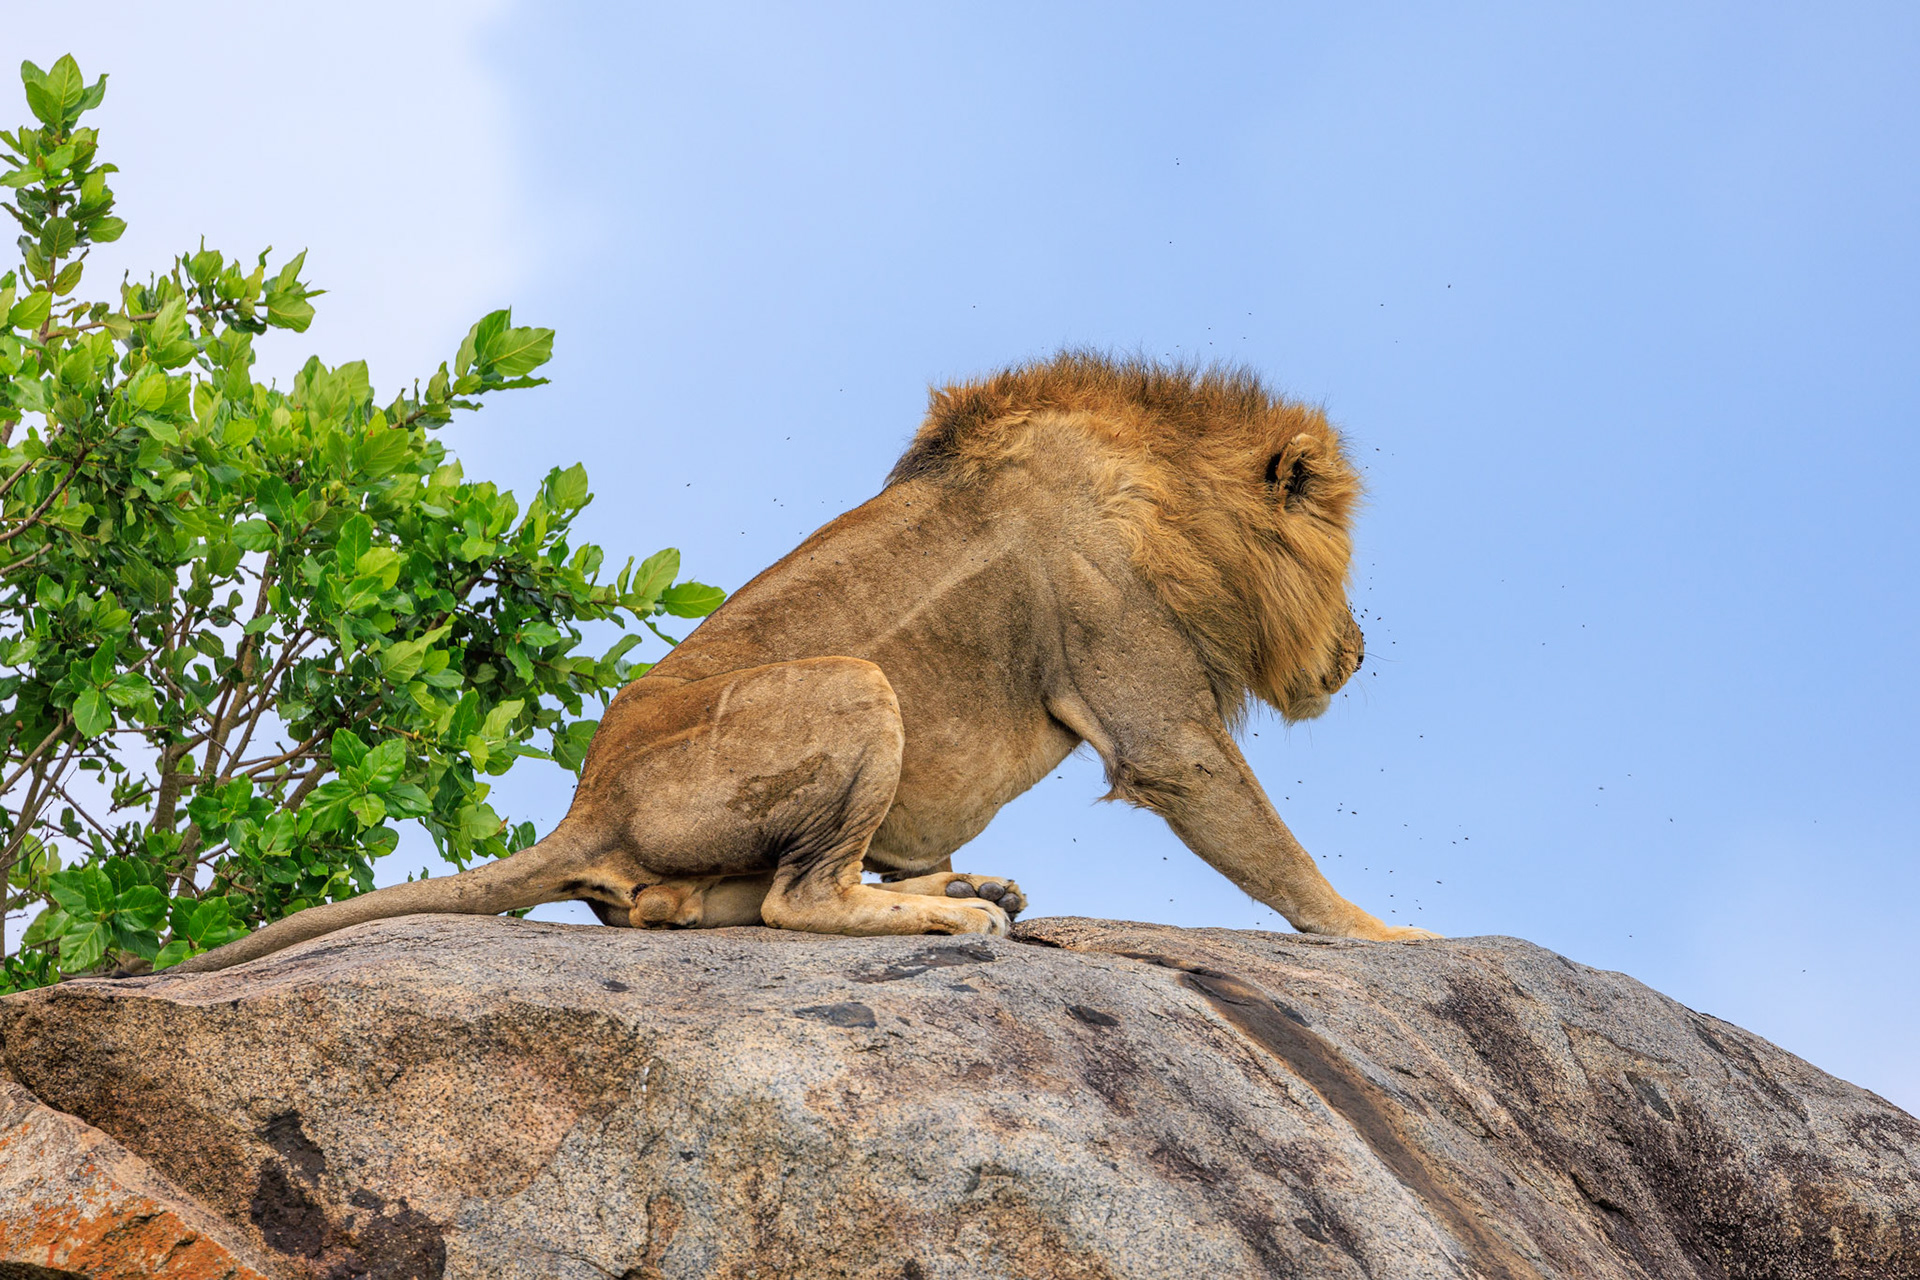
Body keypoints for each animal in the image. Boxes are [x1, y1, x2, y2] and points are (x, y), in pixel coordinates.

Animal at [177, 352, 1436, 973]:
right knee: (798, 900)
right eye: (1344, 559)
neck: (1174, 498)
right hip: (853, 684)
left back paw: (963, 888)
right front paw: (1391, 938)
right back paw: (954, 918)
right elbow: (1277, 854)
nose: (1360, 650)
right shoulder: (1158, 723)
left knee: (736, 901)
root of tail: (587, 805)